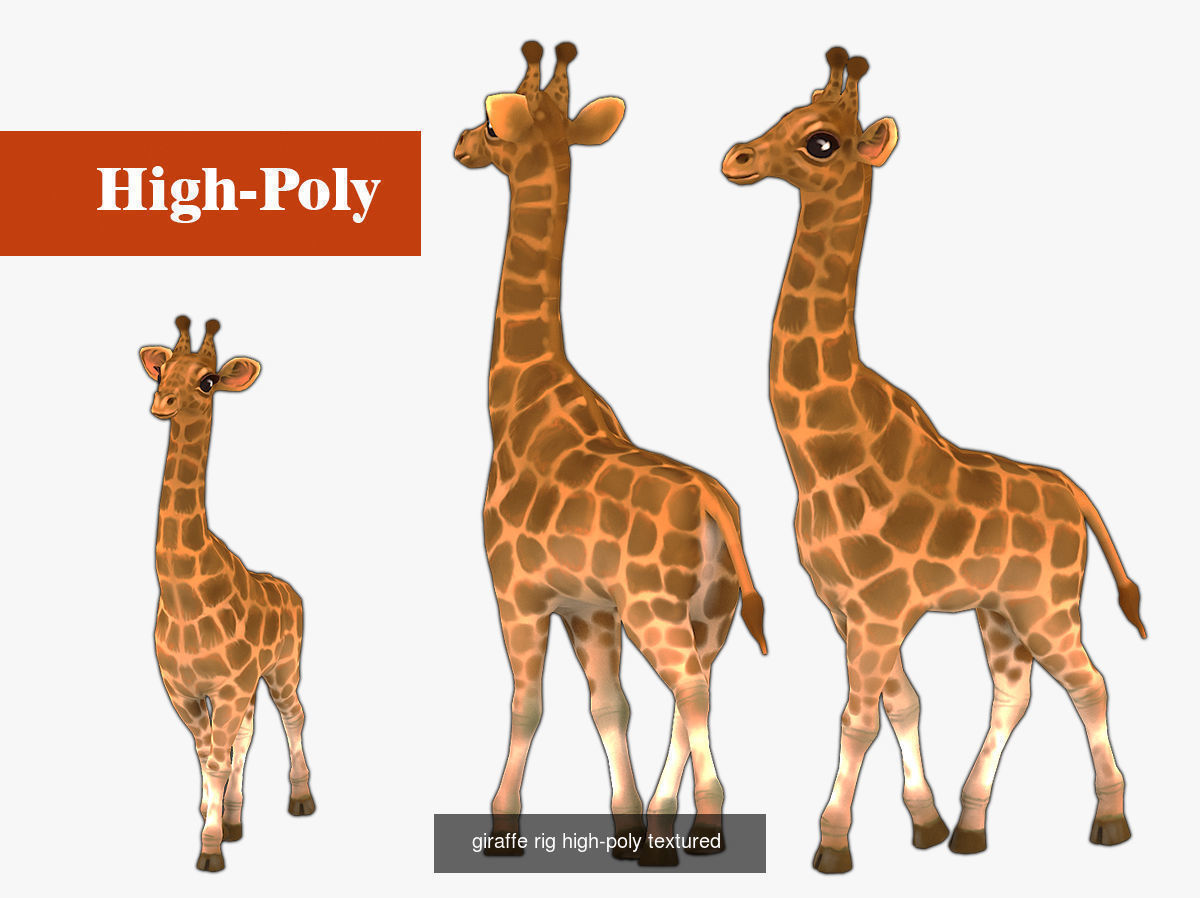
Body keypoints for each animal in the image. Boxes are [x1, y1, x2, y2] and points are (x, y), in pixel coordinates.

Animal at [139, 316, 316, 872]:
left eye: (208, 380)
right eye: (163, 370)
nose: (162, 402)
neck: (181, 592)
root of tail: (290, 590)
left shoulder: (229, 684)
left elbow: (216, 757)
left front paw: (210, 849)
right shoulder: (183, 689)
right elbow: (207, 754)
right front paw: (214, 823)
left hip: (282, 667)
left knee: (293, 716)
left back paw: (301, 798)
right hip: (252, 681)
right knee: (245, 733)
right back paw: (236, 819)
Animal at [455, 41, 768, 866]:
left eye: (492, 126)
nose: (459, 144)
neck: (515, 403)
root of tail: (716, 504)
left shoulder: (516, 591)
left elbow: (527, 703)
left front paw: (502, 828)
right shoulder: (588, 607)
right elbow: (608, 705)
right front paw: (625, 827)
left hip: (656, 607)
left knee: (688, 686)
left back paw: (706, 826)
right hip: (712, 612)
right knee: (698, 685)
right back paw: (669, 827)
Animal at [721, 48, 1146, 873]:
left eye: (820, 141)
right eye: (785, 113)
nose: (737, 158)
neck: (821, 453)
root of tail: (1075, 492)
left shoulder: (879, 608)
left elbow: (856, 716)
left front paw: (832, 844)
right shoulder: (844, 607)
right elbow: (901, 701)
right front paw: (923, 824)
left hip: (1047, 602)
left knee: (1090, 682)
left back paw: (1111, 821)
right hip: (999, 610)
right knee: (1016, 692)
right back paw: (972, 827)